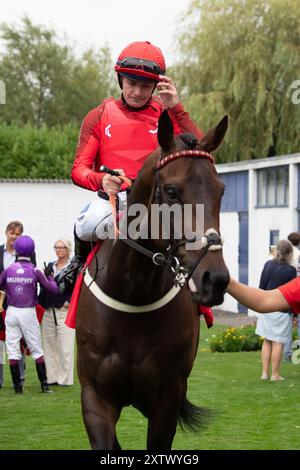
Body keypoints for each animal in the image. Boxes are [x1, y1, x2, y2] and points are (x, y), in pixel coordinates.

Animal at [75, 110, 230, 452]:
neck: (134, 294)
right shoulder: (95, 396)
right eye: (171, 191)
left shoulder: (168, 396)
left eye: (221, 190)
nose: (215, 279)